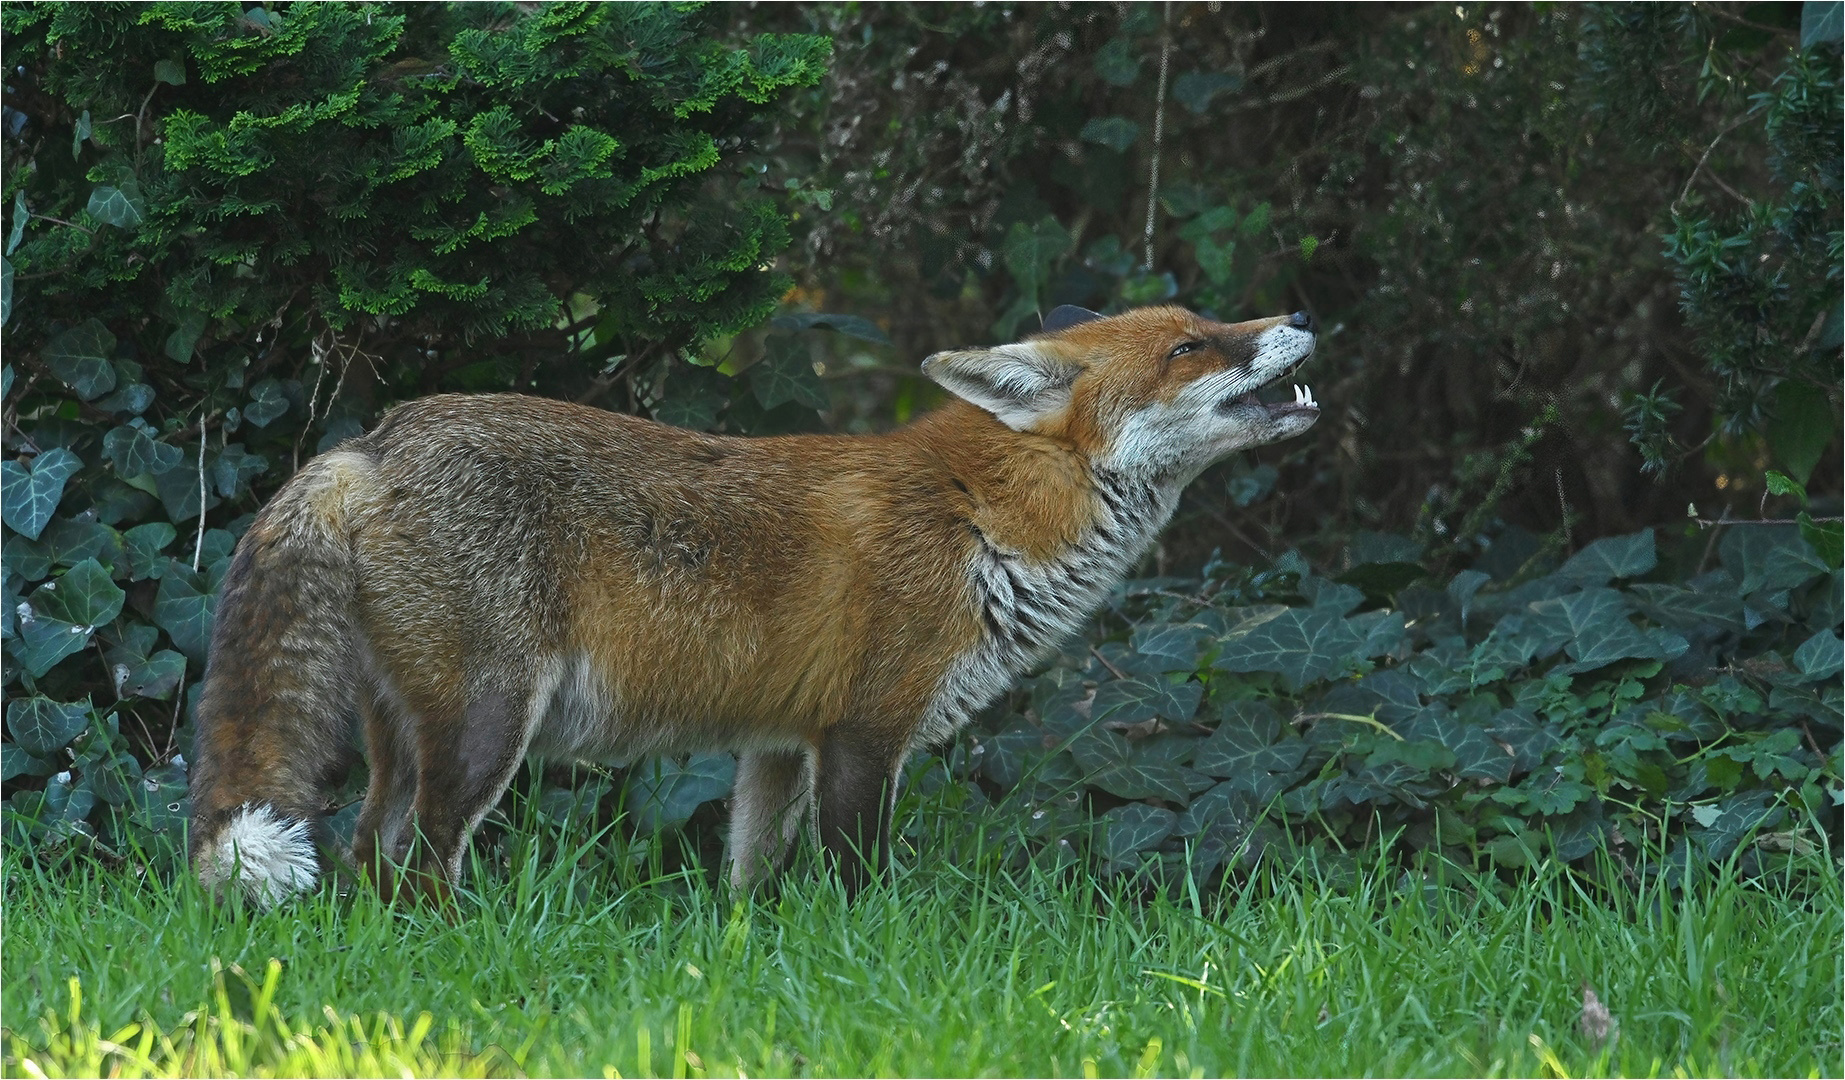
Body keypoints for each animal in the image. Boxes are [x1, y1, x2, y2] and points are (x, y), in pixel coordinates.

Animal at [190, 302, 1328, 900]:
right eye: (1188, 347)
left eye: (1211, 320)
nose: (1298, 316)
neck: (983, 524)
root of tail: (374, 441)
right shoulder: (866, 730)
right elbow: (861, 882)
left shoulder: (779, 743)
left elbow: (746, 880)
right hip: (482, 731)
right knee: (422, 861)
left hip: (400, 734)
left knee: (364, 852)